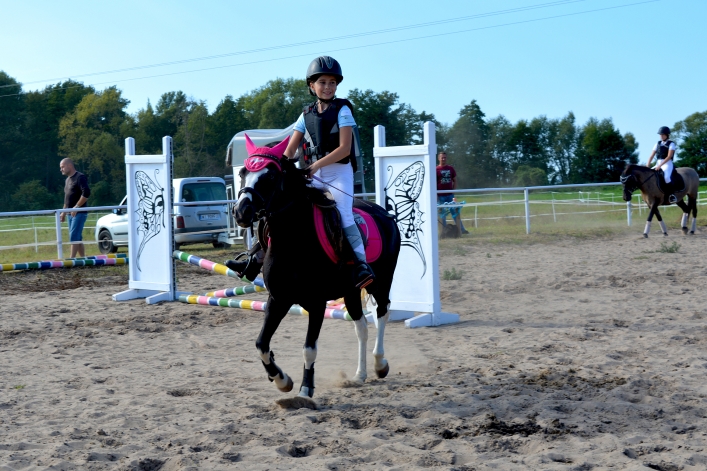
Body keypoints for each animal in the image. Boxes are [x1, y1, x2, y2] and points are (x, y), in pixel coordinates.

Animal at [234, 136, 401, 403]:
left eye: (270, 177)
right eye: (242, 173)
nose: (241, 212)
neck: (293, 240)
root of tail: (384, 213)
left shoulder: (317, 303)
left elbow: (309, 349)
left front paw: (305, 389)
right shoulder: (278, 299)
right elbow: (261, 344)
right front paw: (282, 380)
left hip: (382, 281)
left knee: (382, 313)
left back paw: (379, 364)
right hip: (351, 292)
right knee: (361, 327)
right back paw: (360, 374)